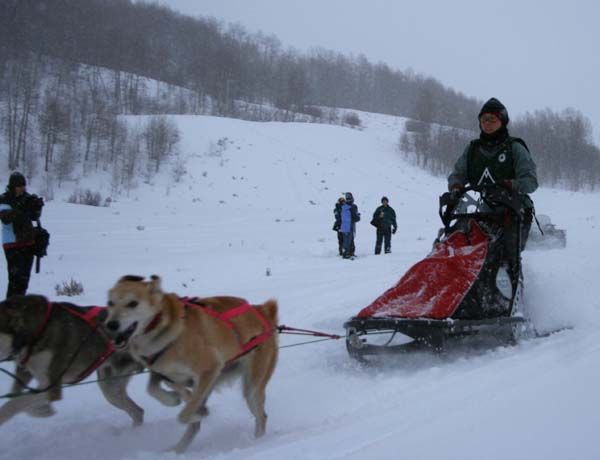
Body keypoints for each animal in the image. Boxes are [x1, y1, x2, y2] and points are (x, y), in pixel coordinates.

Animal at [105, 274, 278, 454]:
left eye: (133, 303)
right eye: (110, 303)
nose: (111, 324)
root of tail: (263, 311)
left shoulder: (210, 368)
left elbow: (184, 414)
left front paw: (197, 410)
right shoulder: (162, 373)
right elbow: (153, 389)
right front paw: (174, 398)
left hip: (252, 388)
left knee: (261, 416)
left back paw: (258, 443)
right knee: (194, 426)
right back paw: (177, 449)